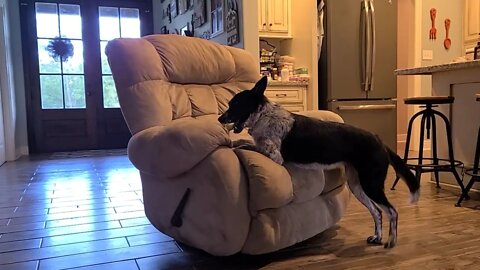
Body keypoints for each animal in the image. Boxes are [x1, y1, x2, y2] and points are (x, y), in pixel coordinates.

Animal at [218, 76, 420, 249]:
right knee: (377, 211)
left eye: (236, 104)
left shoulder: (275, 156)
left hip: (371, 184)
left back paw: (391, 241)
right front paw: (234, 142)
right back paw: (377, 237)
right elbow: (244, 141)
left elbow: (248, 146)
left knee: (392, 211)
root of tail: (380, 141)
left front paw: (237, 146)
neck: (263, 116)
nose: (220, 119)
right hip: (357, 186)